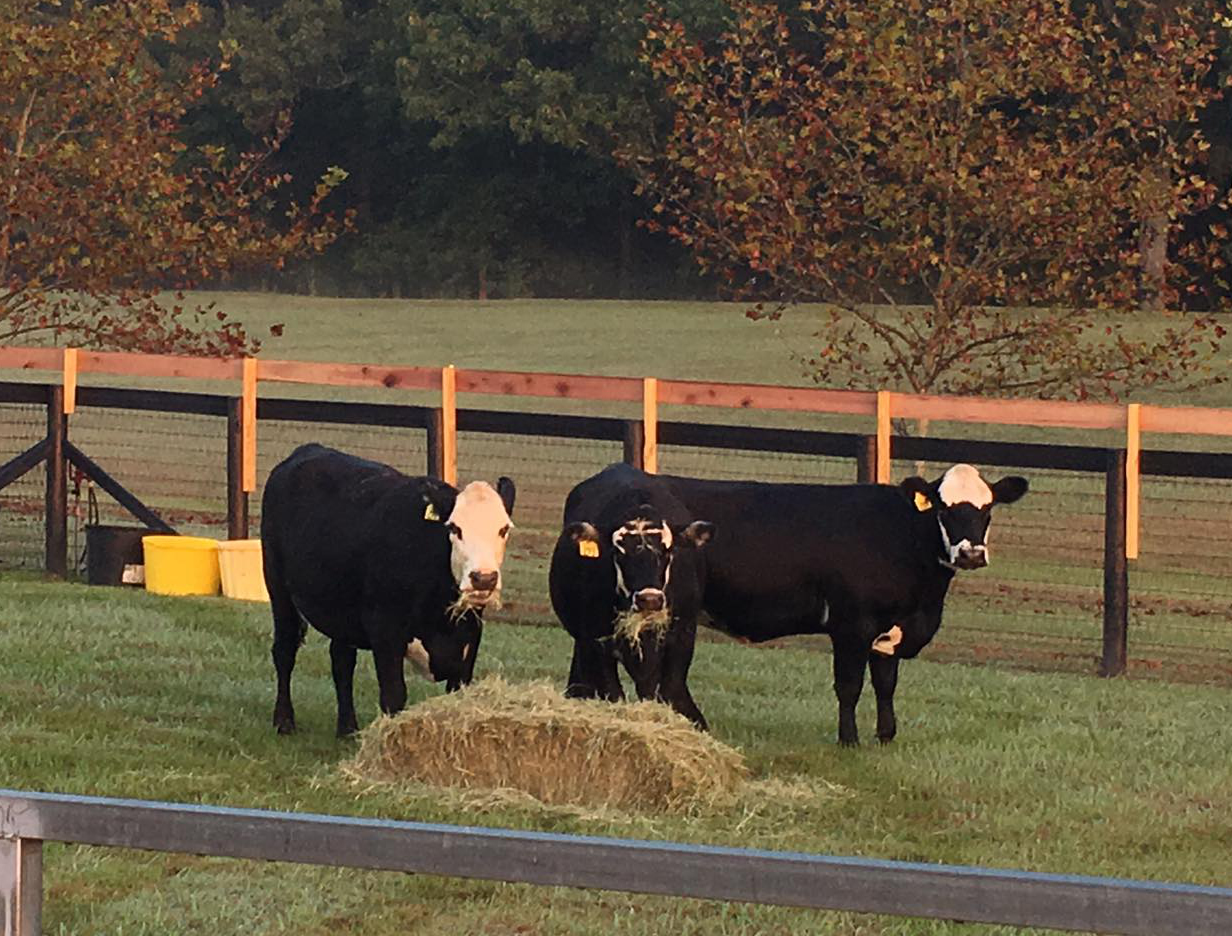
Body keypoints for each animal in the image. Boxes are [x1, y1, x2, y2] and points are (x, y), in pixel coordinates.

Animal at [259, 445, 514, 738]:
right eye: (454, 528)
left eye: (503, 529)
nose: (484, 578)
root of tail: (309, 449)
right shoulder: (385, 629)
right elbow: (394, 696)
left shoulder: (469, 636)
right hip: (278, 588)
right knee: (284, 650)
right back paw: (284, 721)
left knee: (341, 660)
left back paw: (347, 728)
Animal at [549, 468, 714, 729]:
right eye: (618, 552)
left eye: (668, 551)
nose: (650, 599)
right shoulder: (596, 641)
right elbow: (613, 694)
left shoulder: (682, 638)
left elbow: (671, 693)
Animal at [635, 463, 1029, 743]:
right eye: (944, 509)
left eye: (987, 509)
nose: (971, 554)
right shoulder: (852, 625)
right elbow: (849, 686)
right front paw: (849, 741)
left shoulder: (889, 629)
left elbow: (885, 683)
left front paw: (885, 736)